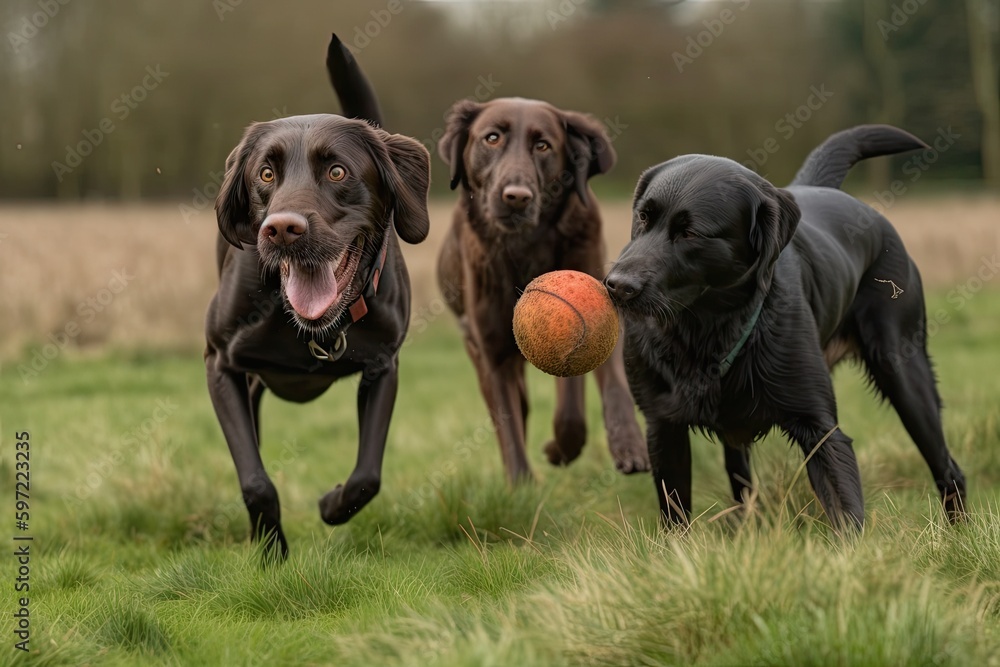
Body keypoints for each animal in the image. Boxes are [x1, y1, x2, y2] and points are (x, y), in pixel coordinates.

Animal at [207, 35, 430, 560]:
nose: (282, 229)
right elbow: (255, 479)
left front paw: (331, 504)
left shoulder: (383, 367)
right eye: (266, 174)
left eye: (337, 171)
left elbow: (367, 476)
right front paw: (272, 552)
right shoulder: (220, 364)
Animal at [436, 98, 648, 480]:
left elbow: (596, 394)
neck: (526, 247)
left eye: (543, 145)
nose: (516, 197)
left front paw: (626, 446)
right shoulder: (493, 352)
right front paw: (522, 486)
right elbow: (509, 430)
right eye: (492, 138)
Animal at [604, 126, 964, 532]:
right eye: (643, 217)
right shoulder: (663, 428)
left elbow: (845, 510)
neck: (706, 330)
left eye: (691, 233)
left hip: (904, 372)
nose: (616, 286)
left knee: (949, 469)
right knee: (740, 482)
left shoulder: (820, 428)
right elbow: (676, 518)